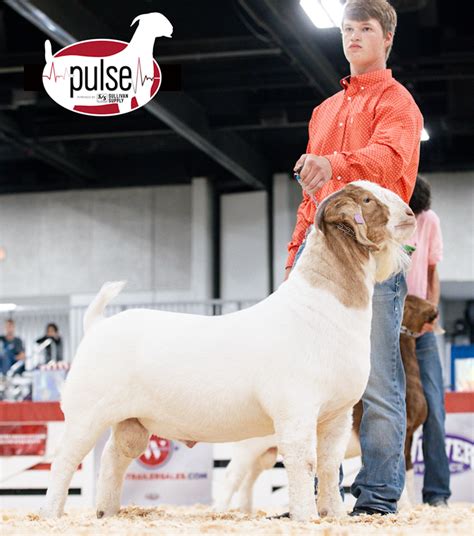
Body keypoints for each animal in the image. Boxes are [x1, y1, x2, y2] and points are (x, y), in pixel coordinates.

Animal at [42, 180, 416, 520]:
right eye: (367, 200)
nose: (411, 214)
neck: (320, 308)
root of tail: (97, 325)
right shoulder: (296, 408)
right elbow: (304, 462)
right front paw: (307, 517)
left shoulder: (338, 413)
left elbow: (327, 465)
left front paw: (335, 516)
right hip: (85, 412)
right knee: (64, 461)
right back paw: (52, 514)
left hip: (131, 421)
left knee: (114, 457)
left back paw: (107, 512)